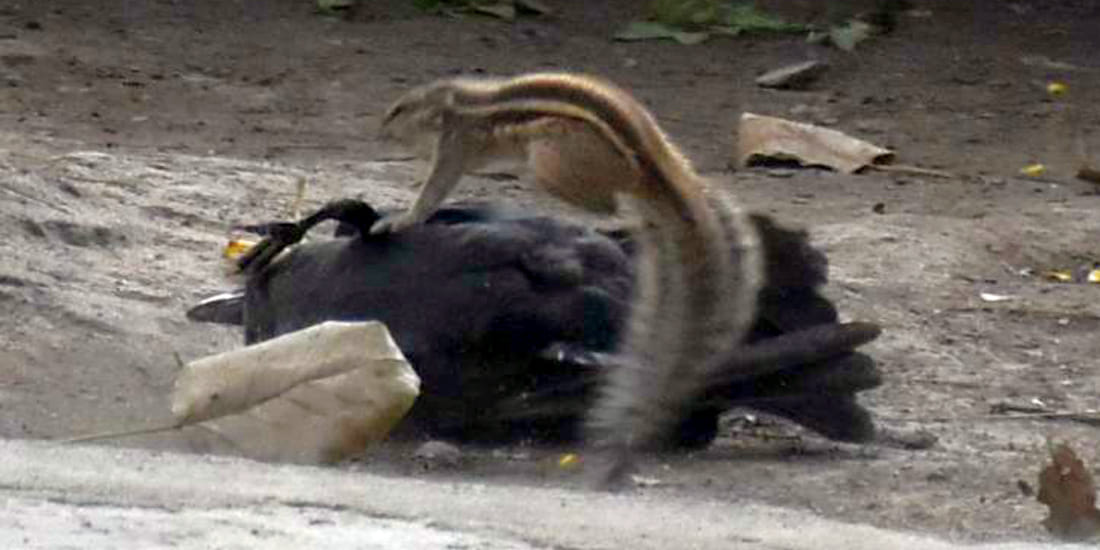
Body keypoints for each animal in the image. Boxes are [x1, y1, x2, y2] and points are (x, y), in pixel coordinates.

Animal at [377, 72, 763, 488]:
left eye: (400, 109)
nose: (380, 129)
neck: (458, 107)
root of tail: (650, 166)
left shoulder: (455, 147)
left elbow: (432, 192)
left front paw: (400, 220)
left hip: (551, 160)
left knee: (613, 201)